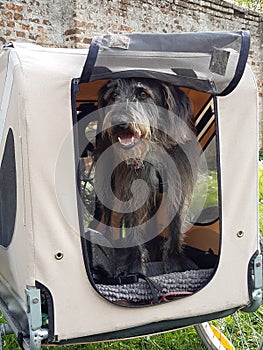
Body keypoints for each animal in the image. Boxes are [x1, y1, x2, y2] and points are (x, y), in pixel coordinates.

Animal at [89, 77, 201, 282]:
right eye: (113, 95)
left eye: (143, 94)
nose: (119, 122)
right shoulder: (131, 191)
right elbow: (133, 232)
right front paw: (135, 269)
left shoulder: (177, 189)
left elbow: (175, 227)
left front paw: (175, 265)